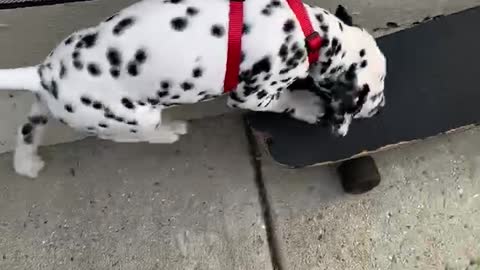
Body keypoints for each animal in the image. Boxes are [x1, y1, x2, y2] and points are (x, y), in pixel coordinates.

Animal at [0, 0, 386, 178]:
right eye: (375, 93)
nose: (382, 108)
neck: (310, 33)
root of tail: (44, 73)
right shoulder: (253, 94)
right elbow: (283, 100)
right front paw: (308, 106)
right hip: (133, 117)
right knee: (128, 136)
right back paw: (170, 131)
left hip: (50, 104)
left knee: (29, 127)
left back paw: (28, 161)